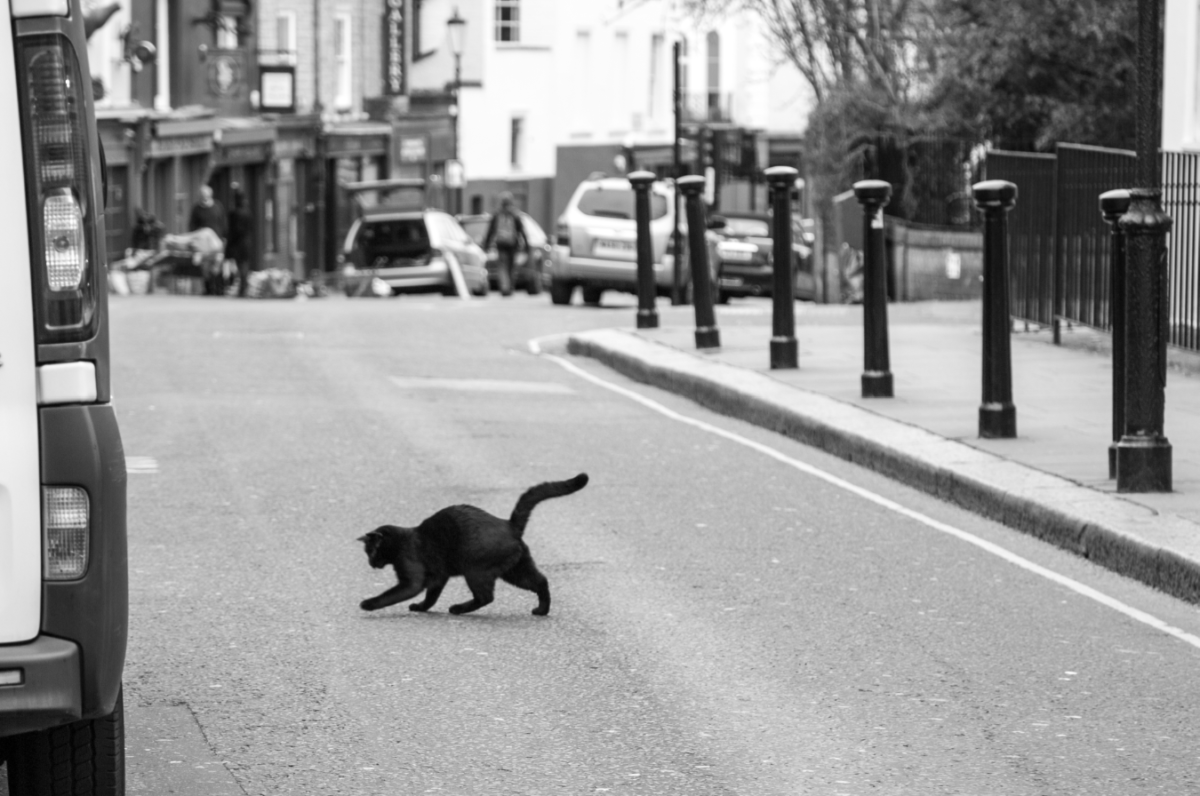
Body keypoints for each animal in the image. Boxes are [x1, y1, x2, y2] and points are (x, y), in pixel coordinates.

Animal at [357, 473, 588, 614]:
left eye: (370, 552)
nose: (370, 563)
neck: (402, 542)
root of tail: (509, 524)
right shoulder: (438, 576)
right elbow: (431, 597)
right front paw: (421, 607)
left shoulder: (412, 579)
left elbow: (392, 594)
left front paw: (368, 604)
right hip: (516, 570)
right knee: (541, 581)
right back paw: (541, 610)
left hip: (476, 570)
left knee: (486, 597)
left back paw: (458, 609)